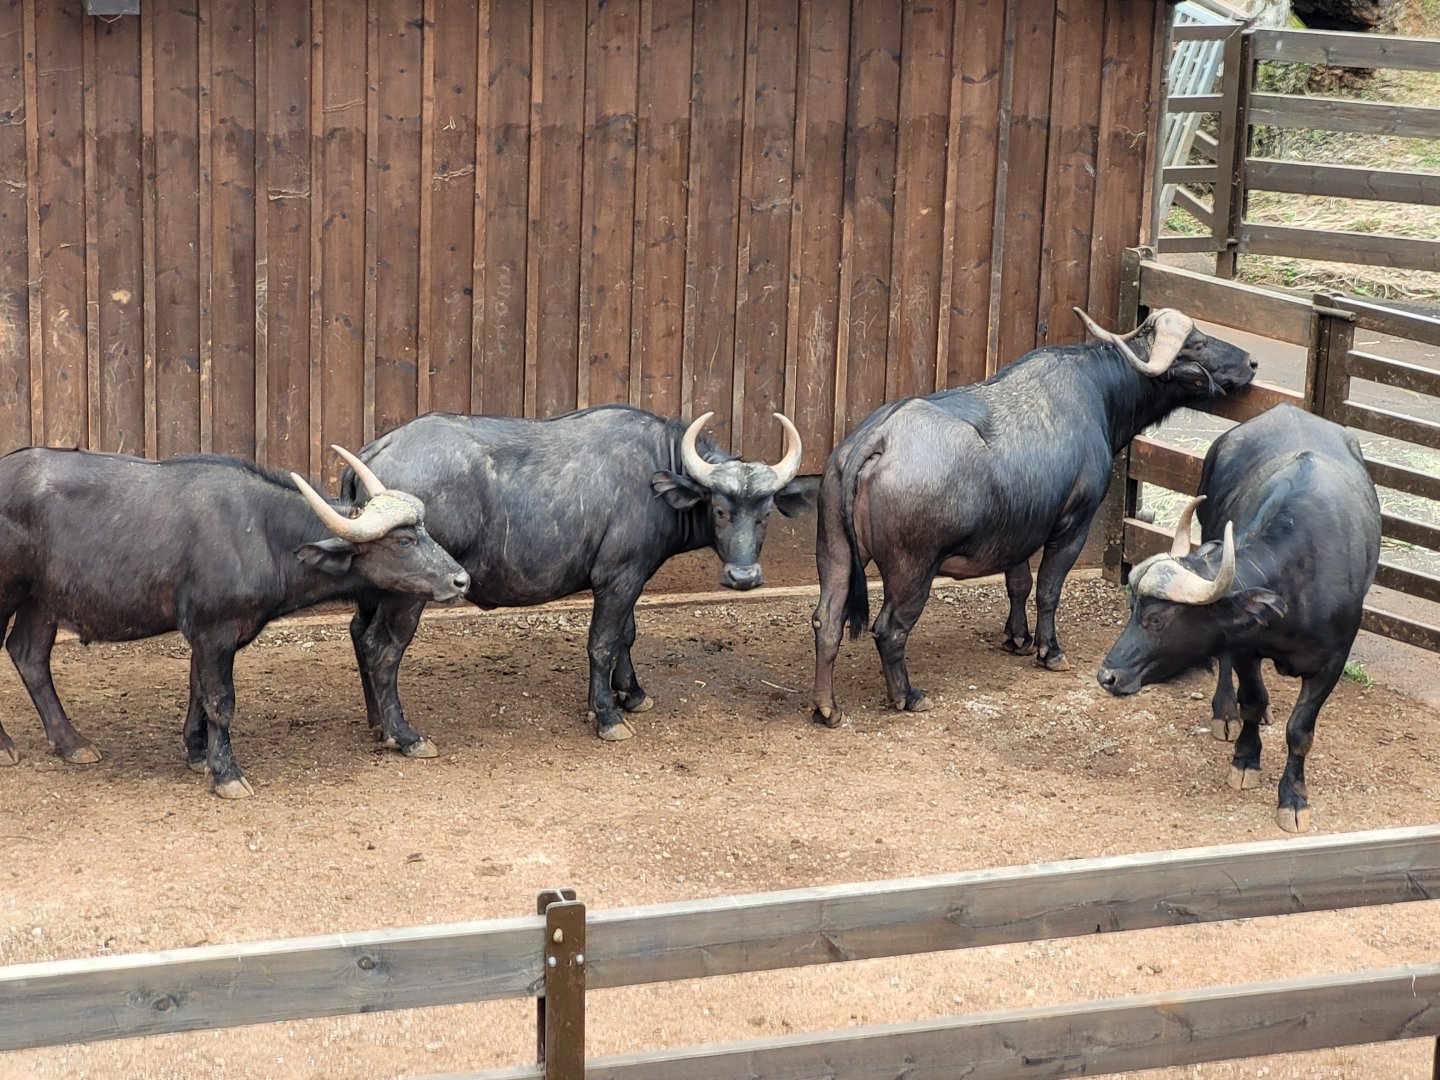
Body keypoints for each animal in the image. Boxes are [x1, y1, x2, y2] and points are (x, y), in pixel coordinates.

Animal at [0, 445, 470, 797]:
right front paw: (226, 774)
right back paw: (7, 746)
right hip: (8, 594)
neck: (261, 532)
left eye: (426, 530)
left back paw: (71, 743)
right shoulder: (214, 632)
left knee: (29, 655)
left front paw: (197, 754)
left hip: (40, 599)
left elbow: (197, 692)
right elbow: (221, 701)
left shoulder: (208, 637)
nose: (460, 579)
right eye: (404, 540)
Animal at [344, 405, 810, 742]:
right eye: (719, 509)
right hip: (408, 595)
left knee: (359, 635)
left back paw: (376, 723)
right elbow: (602, 643)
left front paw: (632, 694)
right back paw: (404, 735)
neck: (654, 472)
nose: (744, 577)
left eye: (767, 513)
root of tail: (374, 451)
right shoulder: (618, 578)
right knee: (382, 649)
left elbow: (626, 635)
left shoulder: (632, 576)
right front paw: (606, 715)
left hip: (374, 593)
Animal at [810, 307, 1256, 727]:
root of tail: (877, 439)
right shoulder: (1072, 526)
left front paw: (1016, 637)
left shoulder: (1018, 533)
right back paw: (907, 696)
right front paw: (1048, 650)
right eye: (1197, 343)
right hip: (912, 570)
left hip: (835, 553)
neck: (1100, 391)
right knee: (889, 630)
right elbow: (1048, 590)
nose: (1251, 362)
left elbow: (1019, 584)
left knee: (826, 621)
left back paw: (827, 708)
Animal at [1097, 404, 1381, 832]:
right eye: (1132, 609)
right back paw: (1224, 712)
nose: (1107, 676)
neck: (1297, 585)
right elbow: (1251, 698)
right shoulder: (1248, 645)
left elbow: (1300, 731)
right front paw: (1246, 760)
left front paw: (1294, 799)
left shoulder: (1332, 663)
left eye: (1158, 619)